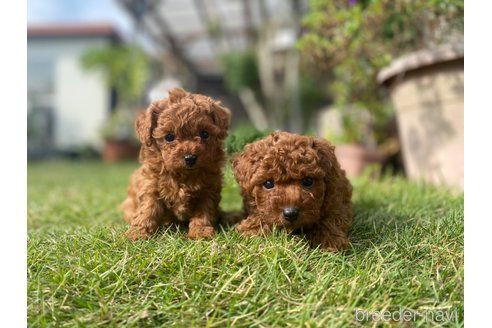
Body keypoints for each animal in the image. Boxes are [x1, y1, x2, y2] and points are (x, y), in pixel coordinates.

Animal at [122, 88, 232, 240]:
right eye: (169, 137)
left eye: (204, 134)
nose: (190, 158)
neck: (183, 174)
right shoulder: (151, 185)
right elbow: (147, 209)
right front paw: (137, 233)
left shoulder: (208, 190)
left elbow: (204, 211)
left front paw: (200, 231)